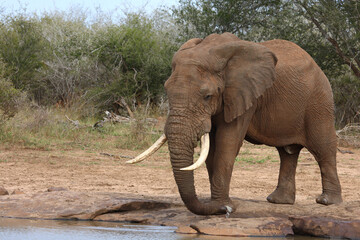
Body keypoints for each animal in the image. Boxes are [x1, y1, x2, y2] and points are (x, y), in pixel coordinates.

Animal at [128, 32, 342, 216]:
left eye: (207, 96)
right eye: (167, 91)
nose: (226, 210)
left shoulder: (244, 94)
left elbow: (227, 143)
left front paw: (221, 205)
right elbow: (212, 148)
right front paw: (219, 206)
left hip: (319, 101)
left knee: (323, 147)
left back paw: (326, 202)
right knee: (287, 153)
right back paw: (278, 201)